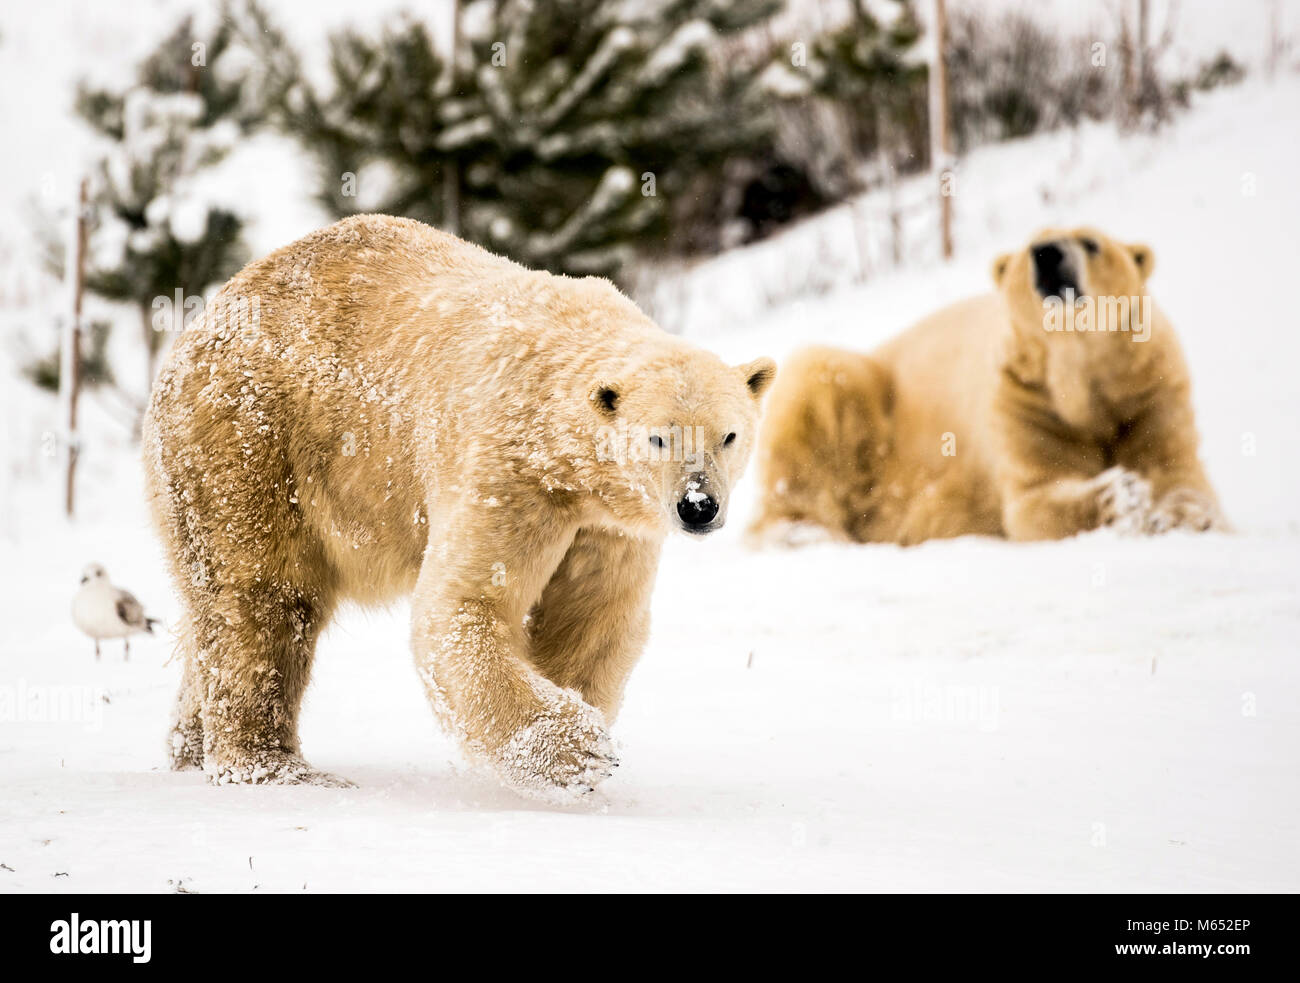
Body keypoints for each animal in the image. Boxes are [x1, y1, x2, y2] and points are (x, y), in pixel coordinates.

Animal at [142, 214, 775, 795]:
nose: (698, 505)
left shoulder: (608, 525)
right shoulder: (507, 472)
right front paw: (579, 751)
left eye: (728, 435)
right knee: (261, 596)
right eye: (659, 438)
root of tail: (203, 322)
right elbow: (464, 607)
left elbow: (591, 619)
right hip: (250, 440)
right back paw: (274, 768)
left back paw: (189, 749)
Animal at [748, 225, 1226, 546]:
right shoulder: (1024, 402)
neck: (1076, 377)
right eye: (1030, 247)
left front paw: (1183, 515)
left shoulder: (1148, 392)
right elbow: (1034, 499)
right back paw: (805, 534)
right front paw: (1123, 496)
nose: (1047, 254)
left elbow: (1176, 470)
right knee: (815, 384)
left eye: (1092, 243)